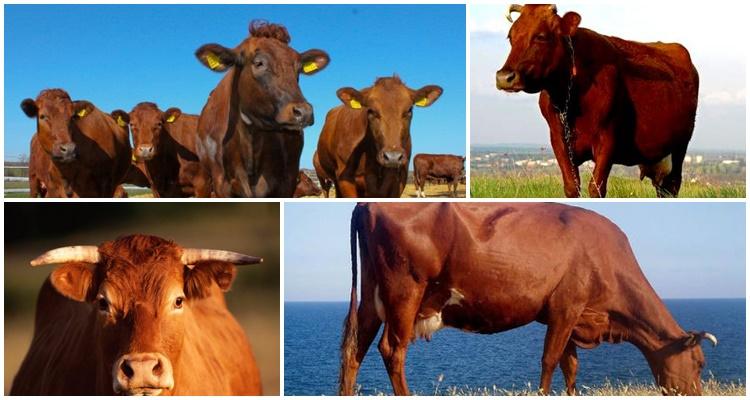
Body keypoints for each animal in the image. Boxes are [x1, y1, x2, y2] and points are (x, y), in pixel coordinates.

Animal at [340, 203, 718, 396]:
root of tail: (368, 202)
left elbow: (570, 366)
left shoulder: (572, 315)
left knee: (354, 348)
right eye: (700, 364)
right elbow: (550, 361)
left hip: (373, 296)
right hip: (404, 290)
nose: (697, 394)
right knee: (392, 350)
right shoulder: (567, 306)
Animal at [496, 4, 699, 198]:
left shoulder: (607, 138)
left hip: (680, 145)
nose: (504, 77)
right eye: (510, 37)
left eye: (541, 36)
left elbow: (596, 188)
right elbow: (572, 187)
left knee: (672, 185)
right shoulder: (558, 140)